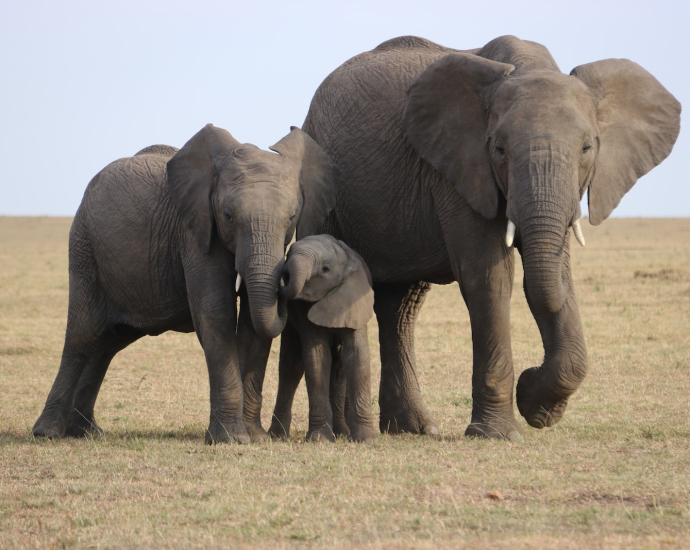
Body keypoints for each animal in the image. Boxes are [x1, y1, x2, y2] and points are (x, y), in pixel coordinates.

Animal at [32, 124, 338, 444]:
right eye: (228, 216)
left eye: (292, 217)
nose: (287, 278)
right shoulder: (194, 232)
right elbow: (217, 314)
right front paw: (231, 439)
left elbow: (253, 325)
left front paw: (255, 438)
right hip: (85, 247)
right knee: (84, 334)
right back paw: (48, 433)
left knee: (107, 342)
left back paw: (86, 432)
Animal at [268, 236, 376, 444]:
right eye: (288, 253)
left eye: (325, 269)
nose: (284, 275)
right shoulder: (302, 309)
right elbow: (317, 358)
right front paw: (319, 440)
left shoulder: (354, 302)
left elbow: (357, 356)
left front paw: (365, 439)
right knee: (291, 366)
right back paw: (276, 435)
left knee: (339, 368)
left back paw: (342, 432)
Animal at [304, 34, 680, 442]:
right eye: (499, 148)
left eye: (587, 148)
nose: (530, 378)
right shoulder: (457, 170)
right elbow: (489, 276)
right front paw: (501, 432)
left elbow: (553, 276)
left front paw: (539, 409)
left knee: (401, 306)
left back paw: (414, 429)